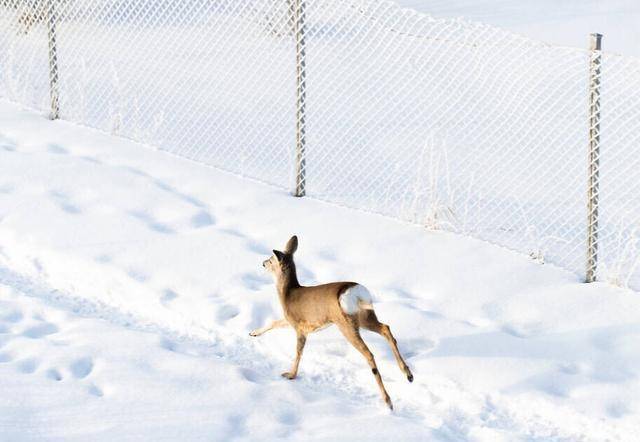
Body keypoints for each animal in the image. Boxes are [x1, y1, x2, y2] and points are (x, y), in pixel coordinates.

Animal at [248, 237, 412, 410]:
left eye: (271, 259)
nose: (263, 263)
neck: (288, 294)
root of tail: (356, 293)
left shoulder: (300, 327)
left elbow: (298, 352)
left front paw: (290, 375)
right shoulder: (290, 321)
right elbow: (273, 322)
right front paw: (253, 333)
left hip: (346, 324)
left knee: (369, 353)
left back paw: (388, 401)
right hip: (364, 317)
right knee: (386, 328)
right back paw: (408, 375)